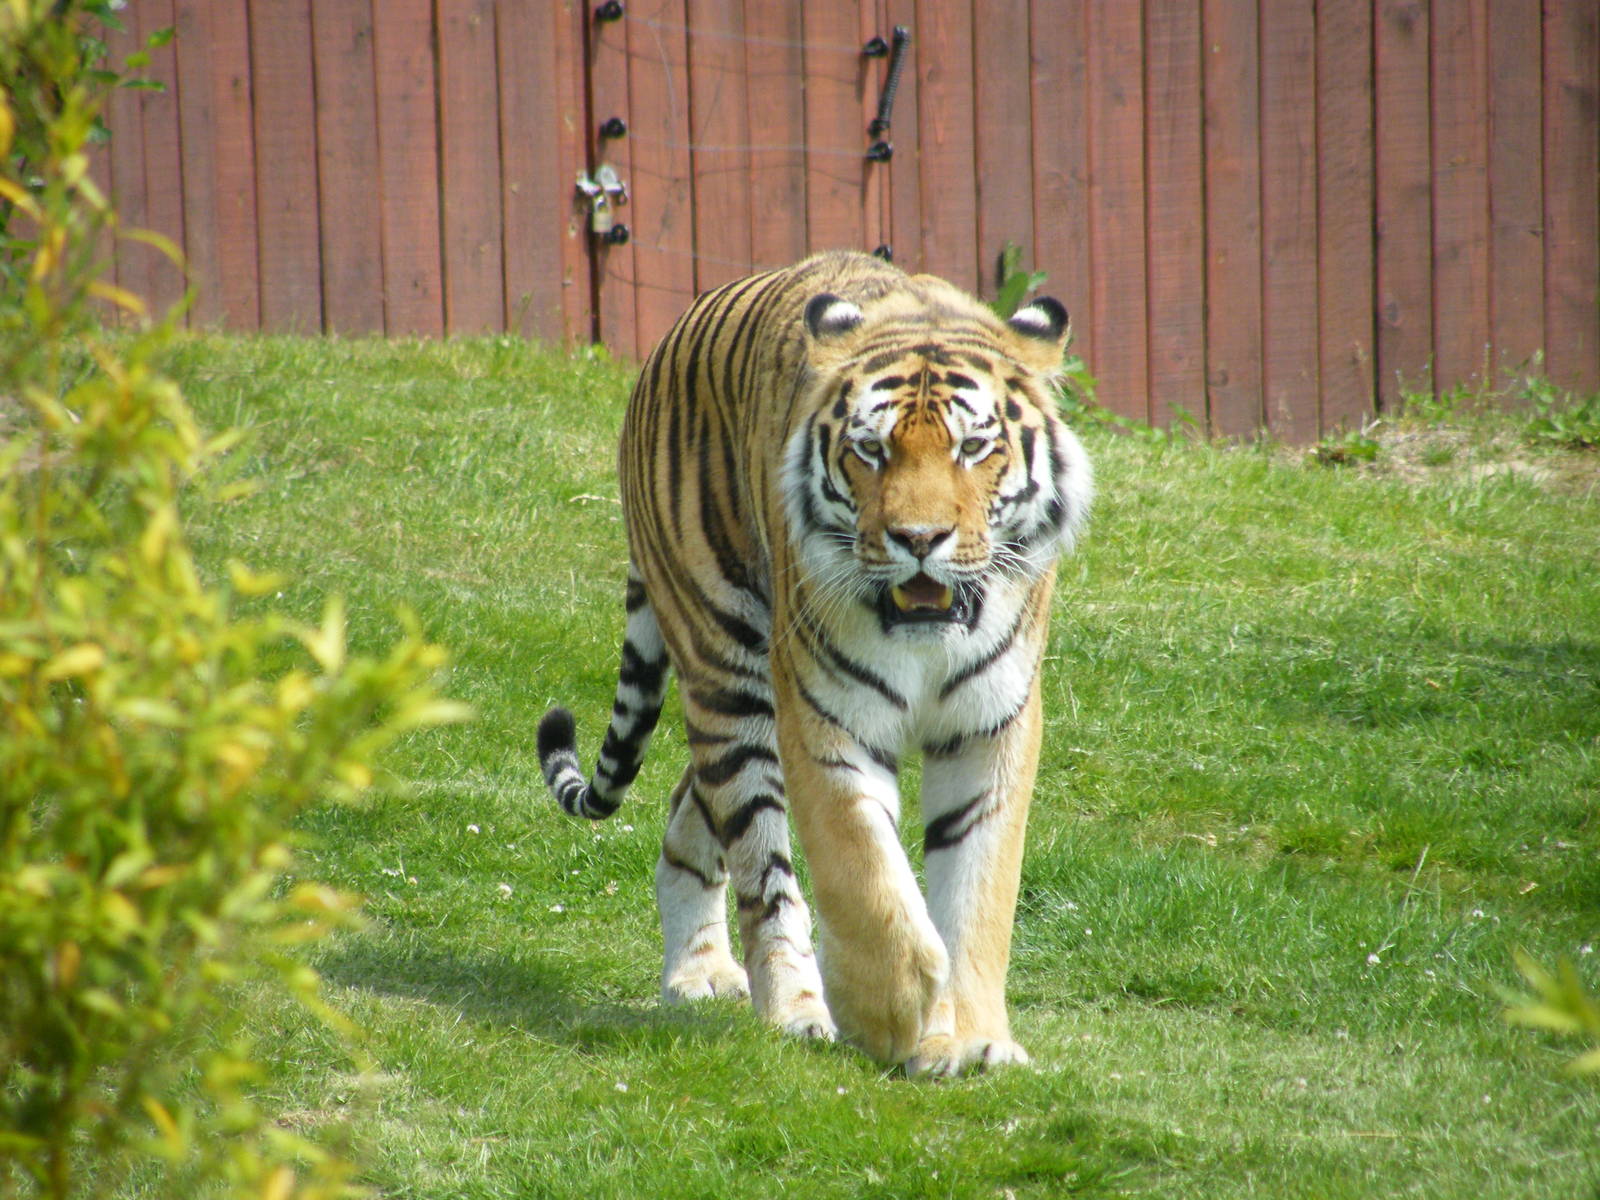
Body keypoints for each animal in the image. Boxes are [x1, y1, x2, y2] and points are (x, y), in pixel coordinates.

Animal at [538, 250, 1091, 1076]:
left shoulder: (993, 725)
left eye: (972, 448)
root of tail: (670, 338)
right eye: (872, 451)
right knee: (762, 872)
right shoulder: (829, 719)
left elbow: (980, 893)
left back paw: (701, 971)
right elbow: (866, 874)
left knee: (688, 807)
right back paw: (792, 1009)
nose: (917, 538)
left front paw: (976, 1038)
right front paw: (893, 1016)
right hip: (730, 671)